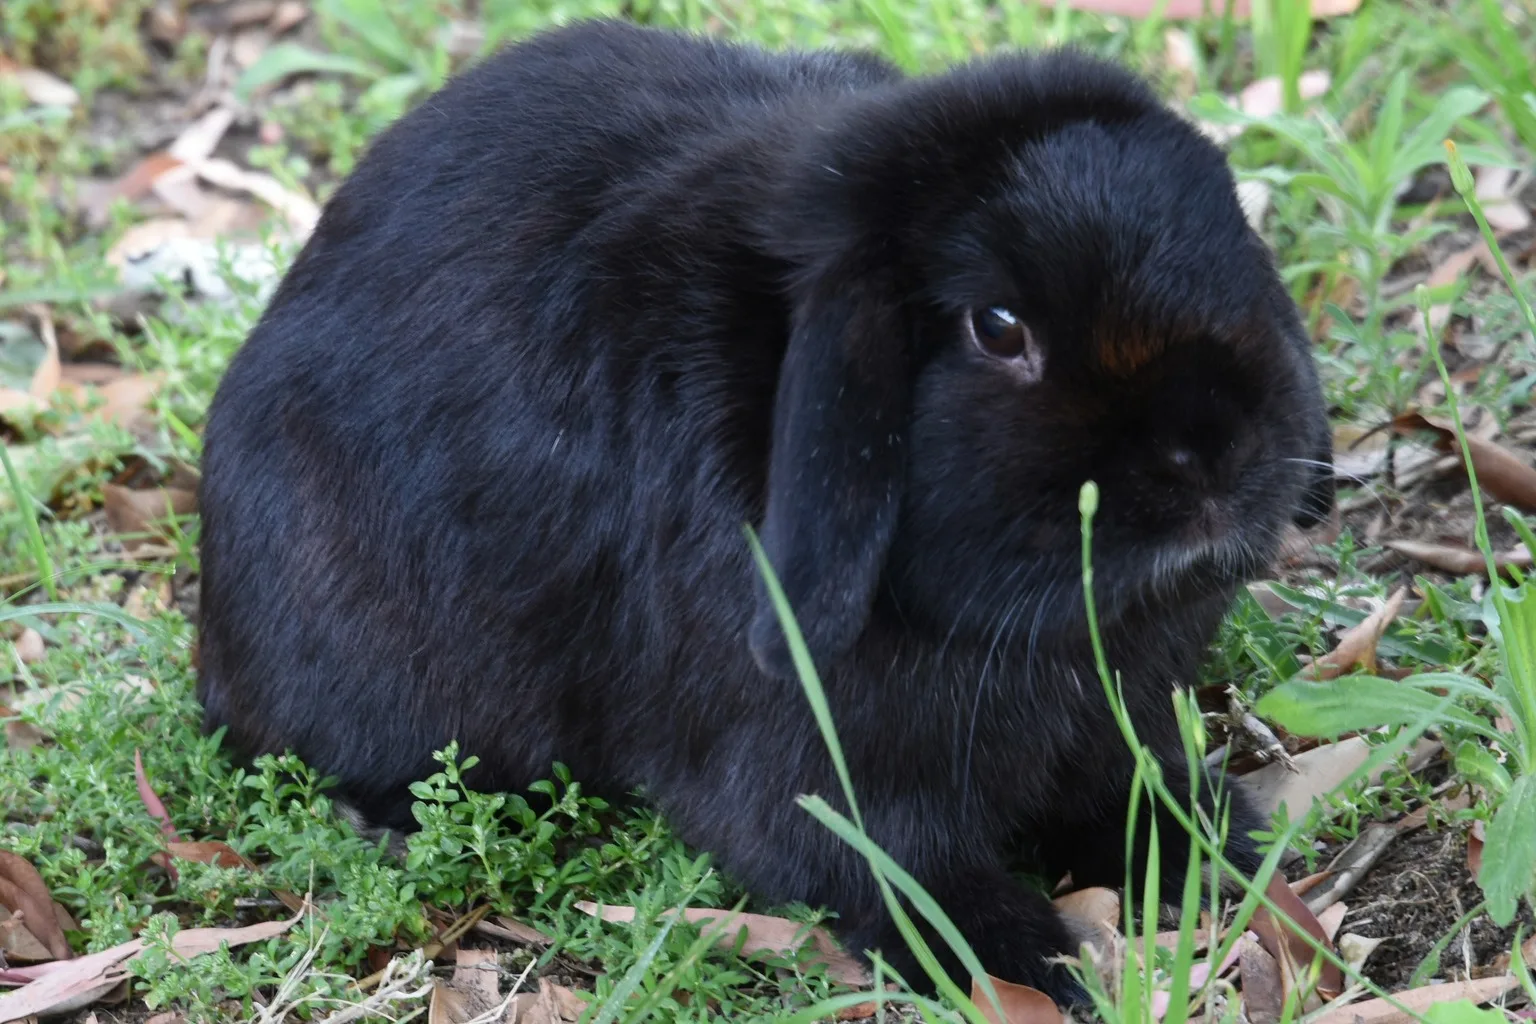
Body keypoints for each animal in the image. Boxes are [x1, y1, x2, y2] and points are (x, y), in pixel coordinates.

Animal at [196, 18, 1335, 1006]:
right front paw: (1029, 963)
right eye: (999, 327)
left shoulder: (1120, 714)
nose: (1213, 452)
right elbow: (890, 870)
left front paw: (1221, 859)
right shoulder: (820, 773)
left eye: (1234, 243)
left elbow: (1132, 790)